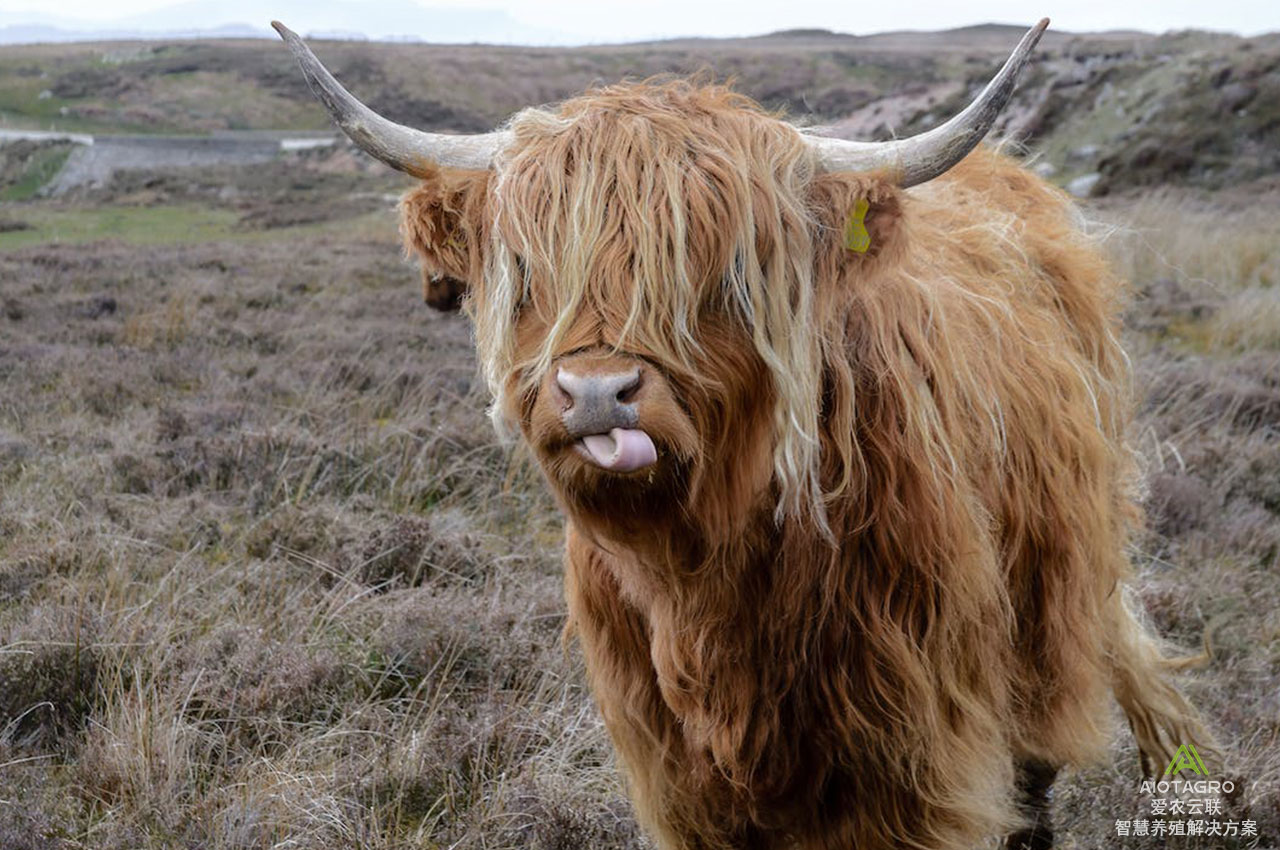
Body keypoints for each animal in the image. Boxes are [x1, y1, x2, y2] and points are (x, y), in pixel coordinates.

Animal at [275, 19, 1213, 850]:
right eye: (530, 272)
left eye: (724, 274)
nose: (596, 395)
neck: (706, 579)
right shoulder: (675, 769)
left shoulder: (909, 756)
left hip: (1053, 597)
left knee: (1037, 768)